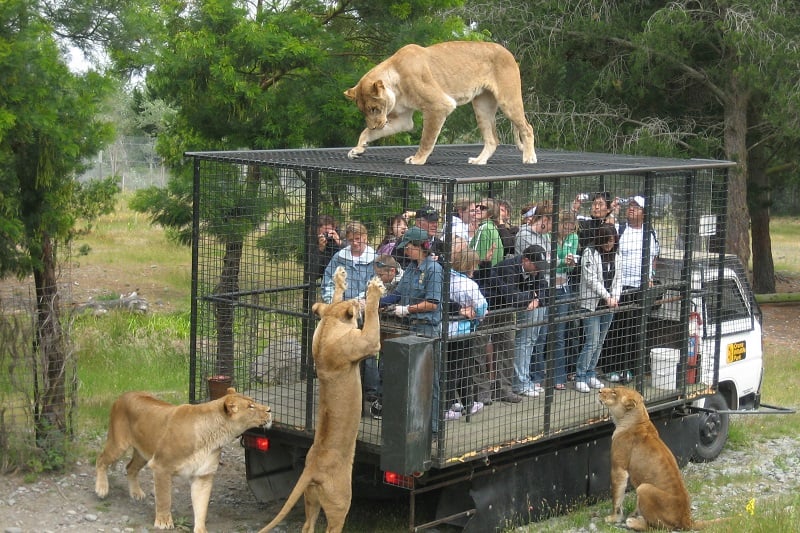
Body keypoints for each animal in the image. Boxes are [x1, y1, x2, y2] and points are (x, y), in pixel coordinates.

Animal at [95, 386, 272, 532]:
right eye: (250, 406)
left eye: (253, 402)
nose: (270, 410)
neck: (215, 436)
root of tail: (124, 395)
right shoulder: (161, 466)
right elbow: (164, 497)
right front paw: (163, 522)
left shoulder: (203, 476)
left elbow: (201, 506)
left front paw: (201, 529)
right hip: (119, 445)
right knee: (101, 459)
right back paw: (101, 489)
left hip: (143, 453)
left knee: (130, 468)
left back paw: (136, 493)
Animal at [260, 266, 386, 532]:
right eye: (356, 303)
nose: (358, 299)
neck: (328, 325)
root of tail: (312, 468)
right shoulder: (367, 342)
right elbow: (371, 319)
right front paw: (374, 290)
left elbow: (332, 299)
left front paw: (339, 278)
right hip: (341, 501)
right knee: (332, 526)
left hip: (311, 499)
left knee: (307, 526)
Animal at [344, 40, 536, 165]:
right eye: (364, 111)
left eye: (374, 109)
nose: (375, 125)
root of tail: (508, 51)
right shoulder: (404, 119)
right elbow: (366, 132)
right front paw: (357, 149)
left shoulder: (438, 105)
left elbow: (427, 138)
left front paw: (417, 159)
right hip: (482, 106)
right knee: (492, 139)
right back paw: (479, 161)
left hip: (508, 100)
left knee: (527, 128)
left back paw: (529, 158)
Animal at [600, 386, 724, 528]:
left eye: (614, 392)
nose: (599, 391)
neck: (639, 419)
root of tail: (686, 519)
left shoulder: (618, 467)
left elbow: (617, 497)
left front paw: (614, 518)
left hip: (643, 488)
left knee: (656, 527)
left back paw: (633, 522)